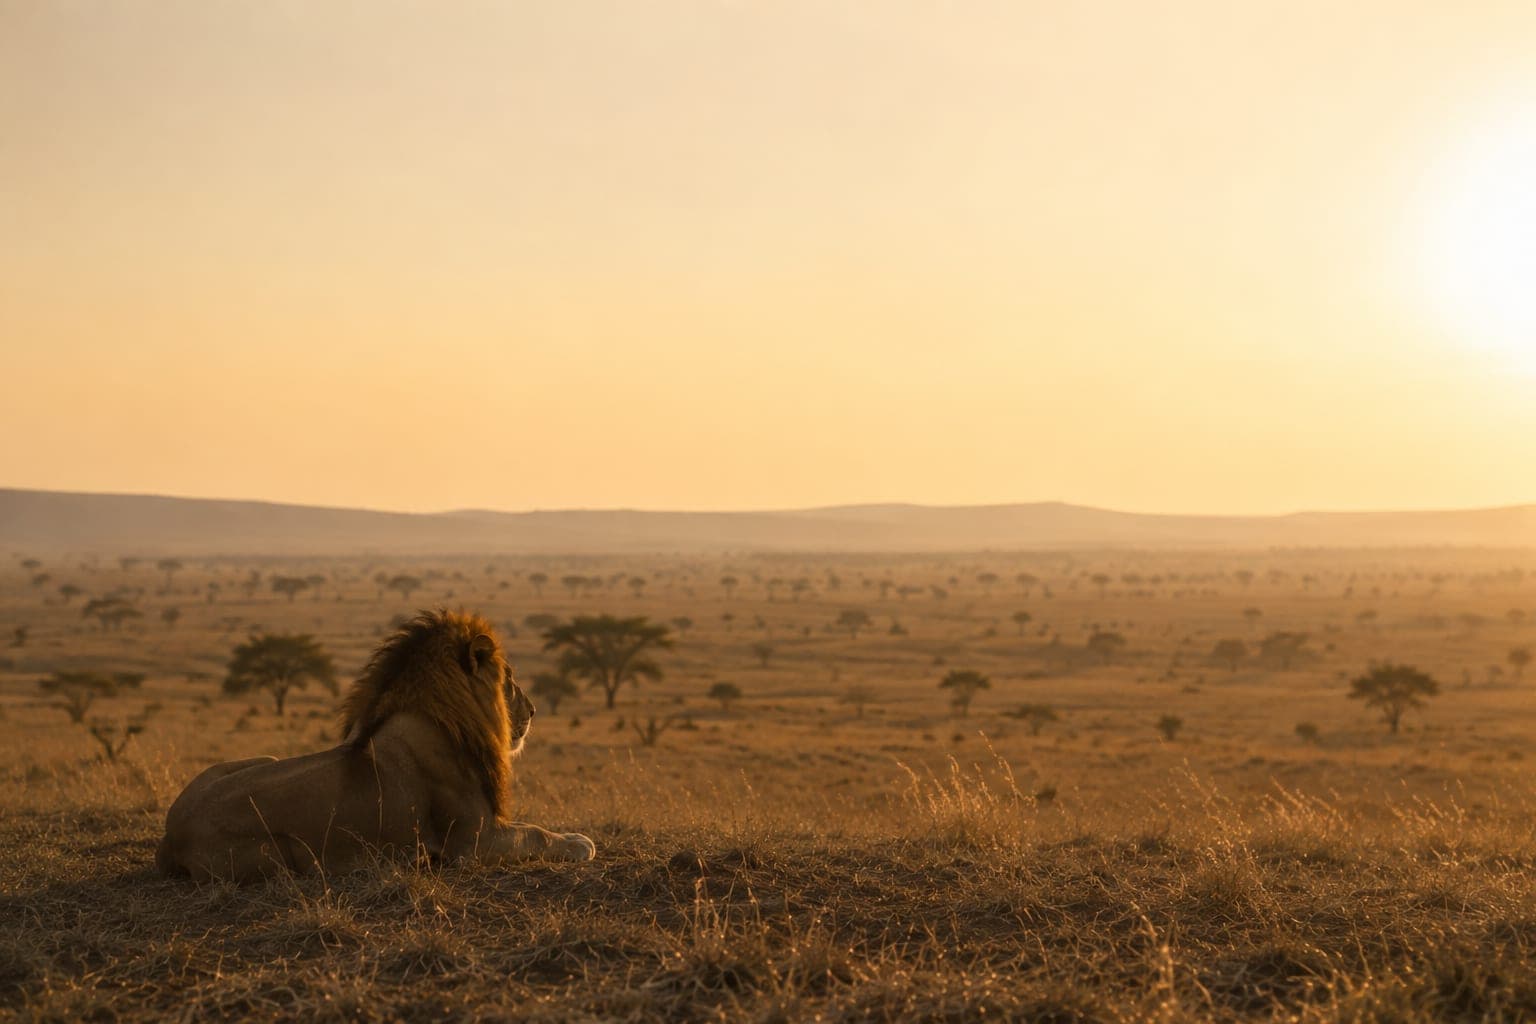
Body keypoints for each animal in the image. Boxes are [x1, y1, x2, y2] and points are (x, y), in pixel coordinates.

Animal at [156, 609, 595, 882]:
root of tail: (170, 834)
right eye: (509, 678)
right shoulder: (474, 840)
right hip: (282, 853)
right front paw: (579, 842)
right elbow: (535, 834)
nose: (534, 710)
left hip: (260, 759)